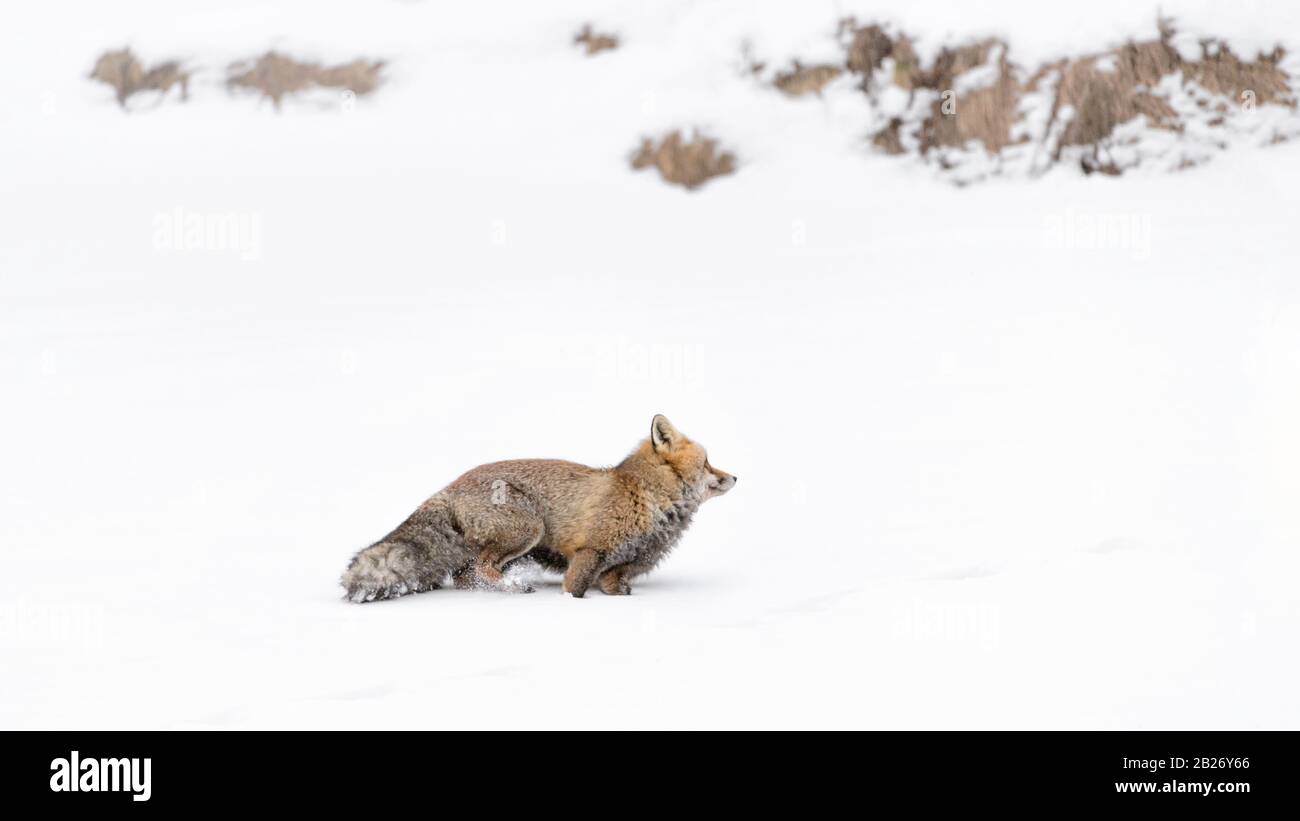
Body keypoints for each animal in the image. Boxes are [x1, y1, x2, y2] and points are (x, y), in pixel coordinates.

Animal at [340, 415, 738, 602]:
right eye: (707, 463)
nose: (735, 476)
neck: (648, 500)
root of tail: (448, 487)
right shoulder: (588, 552)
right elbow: (573, 590)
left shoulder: (619, 571)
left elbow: (617, 590)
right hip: (528, 530)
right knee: (480, 569)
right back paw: (514, 588)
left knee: (466, 576)